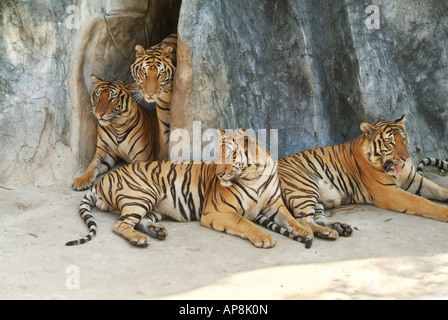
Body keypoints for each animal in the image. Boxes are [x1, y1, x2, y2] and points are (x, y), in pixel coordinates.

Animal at [66, 129, 314, 249]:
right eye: (216, 154)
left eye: (231, 155)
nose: (218, 174)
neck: (254, 174)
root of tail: (100, 182)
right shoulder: (218, 211)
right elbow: (246, 223)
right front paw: (264, 238)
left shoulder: (274, 205)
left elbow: (290, 219)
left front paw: (304, 230)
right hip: (142, 194)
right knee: (121, 225)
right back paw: (140, 240)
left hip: (155, 207)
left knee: (137, 220)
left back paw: (157, 231)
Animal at [278, 115, 448, 240]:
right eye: (390, 143)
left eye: (404, 139)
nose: (405, 159)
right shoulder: (389, 193)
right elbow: (422, 202)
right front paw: (445, 212)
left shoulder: (414, 180)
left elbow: (439, 190)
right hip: (305, 188)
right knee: (303, 221)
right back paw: (329, 232)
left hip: (316, 198)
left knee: (315, 217)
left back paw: (339, 228)